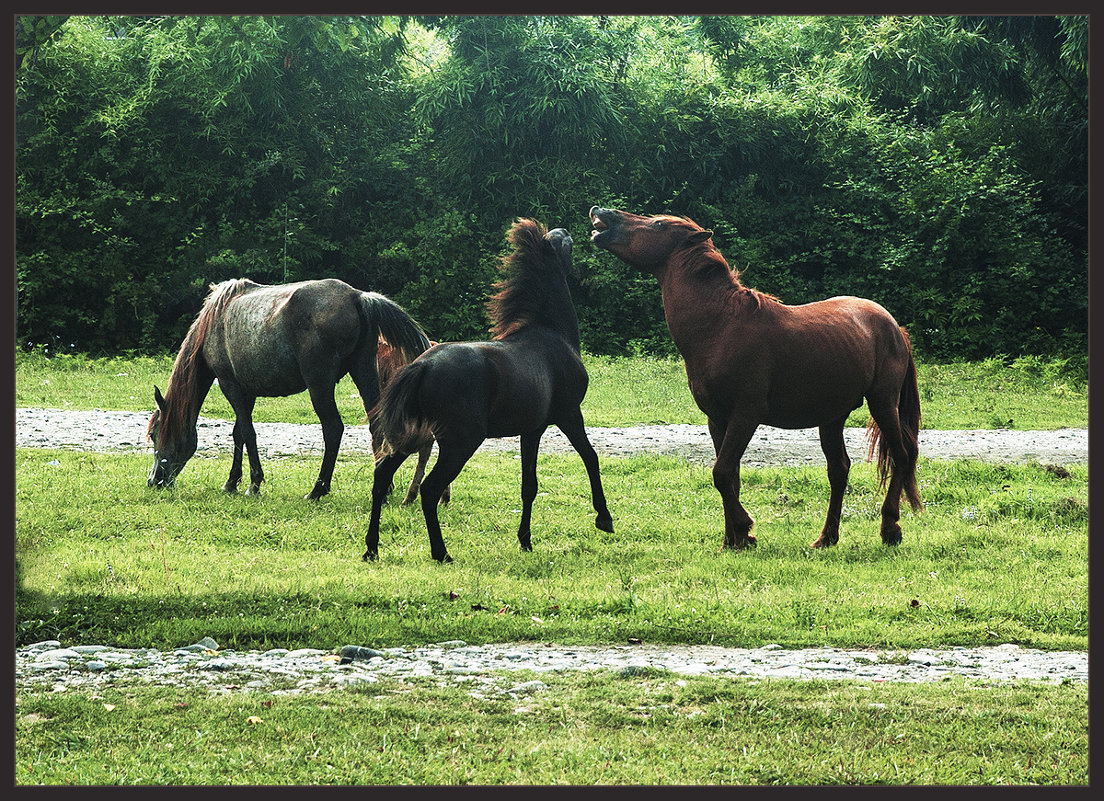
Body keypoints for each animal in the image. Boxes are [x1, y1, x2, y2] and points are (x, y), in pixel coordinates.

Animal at [150, 279, 430, 498]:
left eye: (154, 434)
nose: (154, 481)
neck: (214, 322)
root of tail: (357, 297)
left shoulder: (230, 386)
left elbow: (248, 433)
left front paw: (254, 484)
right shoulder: (246, 391)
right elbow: (239, 433)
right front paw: (232, 483)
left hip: (320, 385)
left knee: (333, 429)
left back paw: (318, 490)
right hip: (363, 372)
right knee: (376, 424)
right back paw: (384, 486)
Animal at [587, 205, 922, 551]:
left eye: (658, 224)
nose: (601, 211)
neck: (720, 327)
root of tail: (894, 326)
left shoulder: (745, 415)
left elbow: (721, 472)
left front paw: (744, 528)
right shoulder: (717, 419)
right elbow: (730, 477)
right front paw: (734, 539)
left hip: (883, 404)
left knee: (902, 455)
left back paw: (890, 528)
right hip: (832, 416)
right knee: (839, 470)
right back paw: (826, 537)